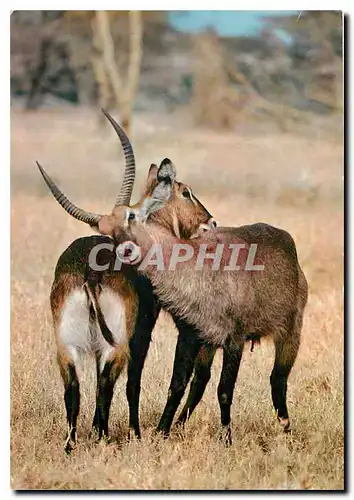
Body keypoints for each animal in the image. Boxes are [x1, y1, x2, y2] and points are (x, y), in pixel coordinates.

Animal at [38, 110, 216, 454]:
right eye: (185, 191)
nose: (210, 222)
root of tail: (90, 272)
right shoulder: (140, 336)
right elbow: (134, 383)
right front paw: (135, 432)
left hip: (67, 346)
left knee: (75, 387)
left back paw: (73, 444)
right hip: (117, 345)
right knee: (109, 383)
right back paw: (104, 438)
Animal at [38, 169, 306, 446]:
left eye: (129, 218)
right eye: (186, 192)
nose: (211, 222)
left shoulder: (224, 338)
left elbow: (207, 388)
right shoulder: (191, 334)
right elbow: (180, 385)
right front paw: (161, 432)